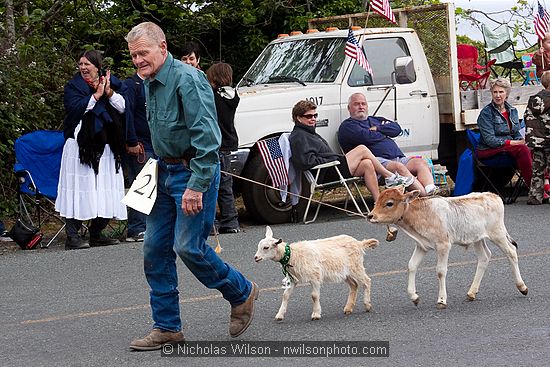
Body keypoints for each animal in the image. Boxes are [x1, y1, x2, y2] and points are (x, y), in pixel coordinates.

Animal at [368, 187, 528, 310]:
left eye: (389, 203)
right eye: (376, 201)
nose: (370, 215)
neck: (423, 212)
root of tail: (493, 195)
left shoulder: (443, 245)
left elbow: (440, 271)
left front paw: (441, 300)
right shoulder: (421, 246)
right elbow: (411, 266)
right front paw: (414, 296)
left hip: (497, 233)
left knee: (511, 252)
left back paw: (522, 287)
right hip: (478, 238)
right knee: (484, 257)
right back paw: (471, 293)